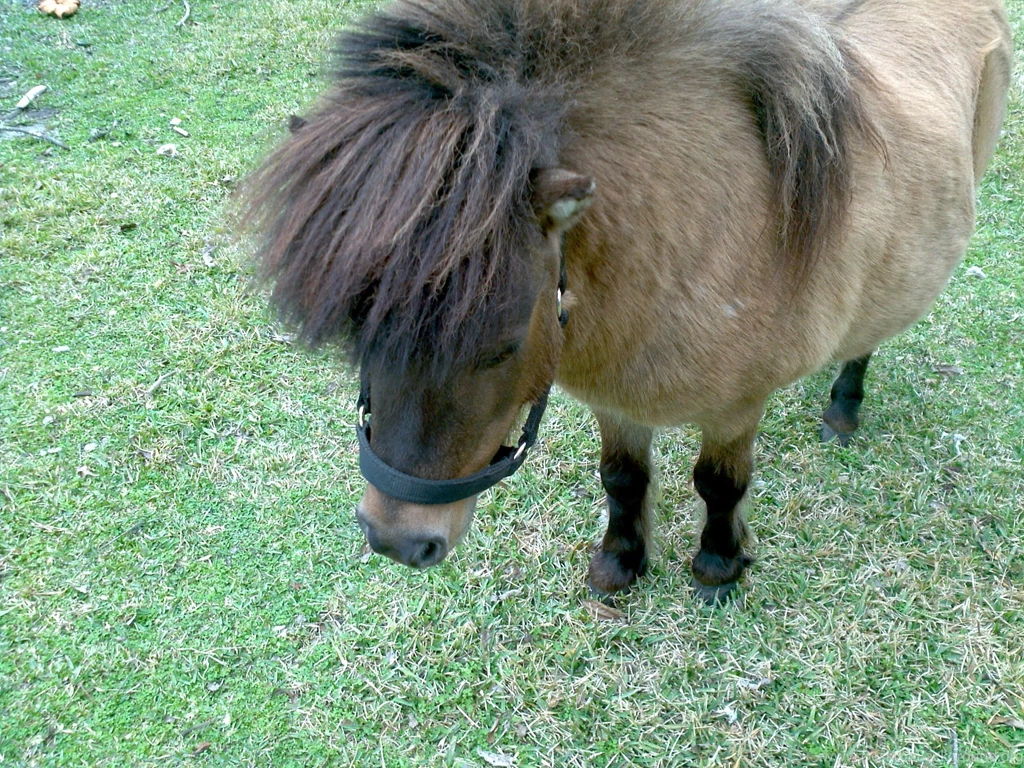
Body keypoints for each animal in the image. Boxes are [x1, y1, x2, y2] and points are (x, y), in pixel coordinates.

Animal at [242, 0, 1012, 602]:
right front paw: (620, 562)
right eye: (357, 332)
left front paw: (718, 566)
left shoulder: (735, 408)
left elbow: (719, 484)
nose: (397, 540)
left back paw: (844, 410)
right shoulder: (615, 402)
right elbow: (621, 478)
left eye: (502, 346)